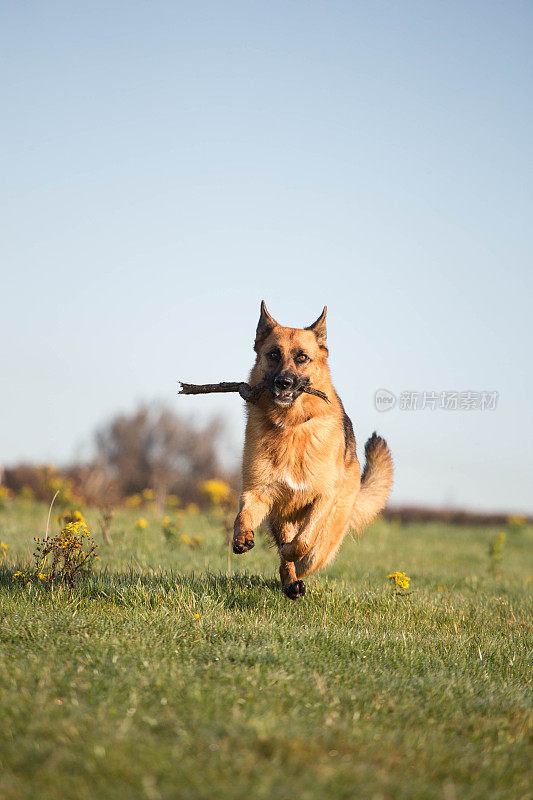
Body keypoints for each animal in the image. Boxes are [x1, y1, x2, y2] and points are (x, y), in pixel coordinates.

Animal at [231, 304, 392, 596]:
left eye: (302, 357)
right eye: (273, 354)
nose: (283, 383)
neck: (291, 426)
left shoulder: (322, 499)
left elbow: (302, 543)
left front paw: (292, 555)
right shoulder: (259, 492)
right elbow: (243, 515)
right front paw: (242, 537)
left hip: (333, 526)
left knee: (313, 554)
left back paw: (295, 574)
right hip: (281, 517)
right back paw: (290, 582)